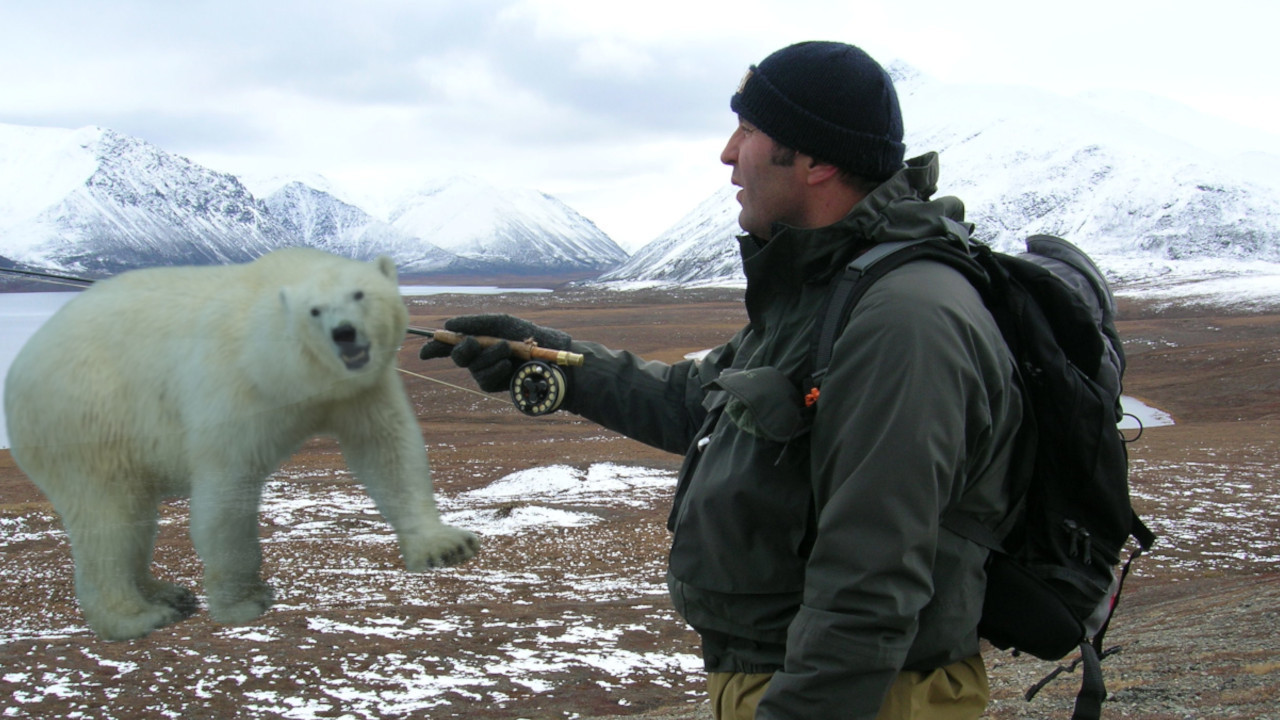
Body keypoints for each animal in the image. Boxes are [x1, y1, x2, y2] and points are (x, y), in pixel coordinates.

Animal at [3, 248, 481, 638]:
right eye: (314, 311)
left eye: (360, 294)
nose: (344, 333)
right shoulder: (234, 389)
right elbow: (227, 492)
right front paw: (246, 601)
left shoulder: (359, 389)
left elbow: (389, 451)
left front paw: (445, 546)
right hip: (89, 416)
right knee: (108, 518)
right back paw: (136, 616)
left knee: (134, 516)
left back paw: (167, 592)